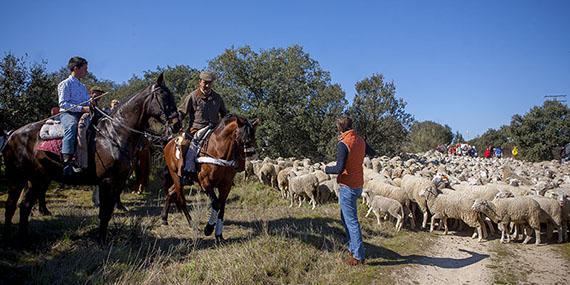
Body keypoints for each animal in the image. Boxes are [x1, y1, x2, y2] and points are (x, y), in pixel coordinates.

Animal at [2, 72, 179, 240]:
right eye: (163, 96)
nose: (177, 124)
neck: (113, 134)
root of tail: (12, 135)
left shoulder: (117, 180)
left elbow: (108, 211)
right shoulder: (107, 181)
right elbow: (105, 213)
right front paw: (101, 240)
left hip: (37, 179)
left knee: (24, 206)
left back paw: (25, 237)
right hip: (17, 178)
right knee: (11, 206)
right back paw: (9, 236)